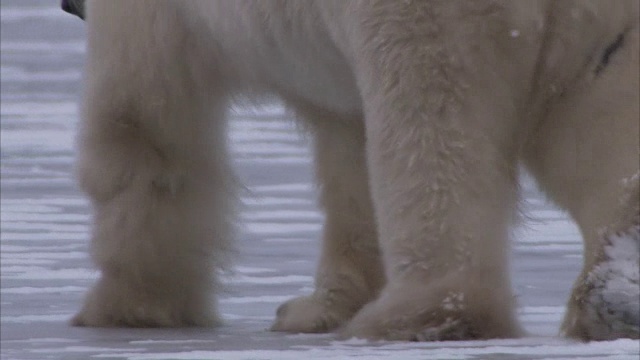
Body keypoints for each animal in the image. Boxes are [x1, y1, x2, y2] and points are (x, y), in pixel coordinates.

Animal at [67, 0, 636, 342]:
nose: (70, 6)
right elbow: (349, 158)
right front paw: (314, 308)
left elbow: (143, 126)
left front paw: (124, 305)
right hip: (604, 29)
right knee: (597, 131)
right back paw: (612, 304)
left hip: (429, 18)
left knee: (432, 127)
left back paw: (423, 317)